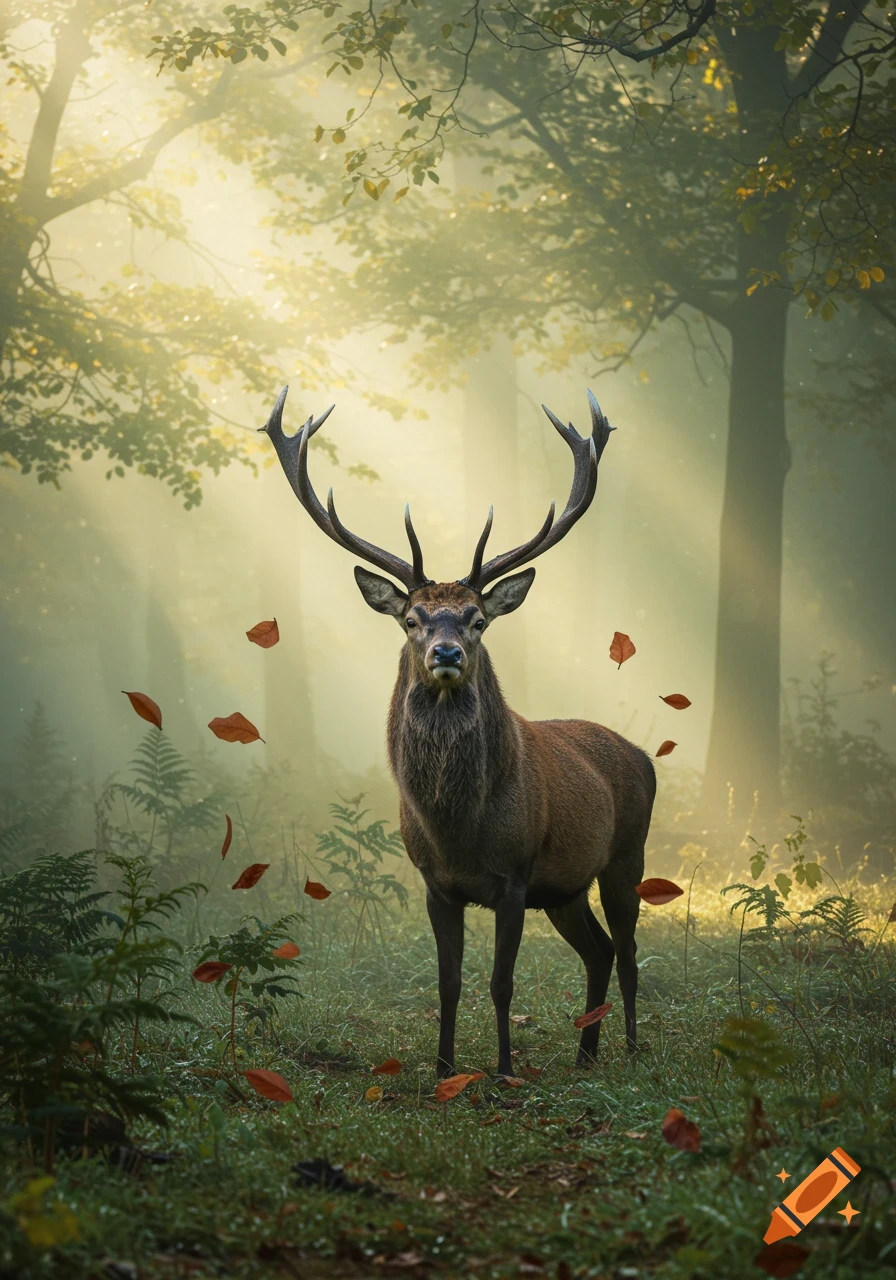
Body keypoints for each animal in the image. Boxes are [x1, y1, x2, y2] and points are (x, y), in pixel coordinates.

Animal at [261, 387, 656, 1078]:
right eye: (412, 619)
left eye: (477, 619)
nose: (445, 652)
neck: (459, 829)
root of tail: (646, 759)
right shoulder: (436, 883)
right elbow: (446, 983)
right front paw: (444, 1070)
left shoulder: (516, 876)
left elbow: (501, 983)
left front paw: (503, 1069)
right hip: (566, 887)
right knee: (601, 950)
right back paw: (584, 1056)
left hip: (625, 856)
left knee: (629, 950)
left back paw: (630, 1049)